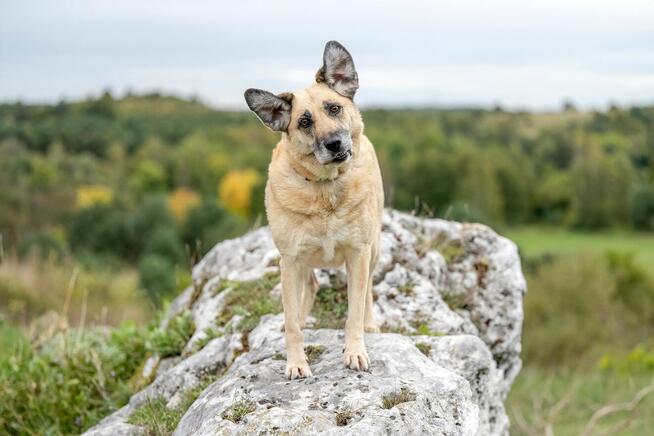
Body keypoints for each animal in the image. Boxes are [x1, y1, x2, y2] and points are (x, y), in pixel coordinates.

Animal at [245, 42, 384, 380]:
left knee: (367, 291)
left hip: (373, 249)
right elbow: (292, 323)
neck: (325, 190)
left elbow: (354, 310)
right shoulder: (290, 260)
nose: (335, 144)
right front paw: (296, 362)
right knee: (308, 288)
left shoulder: (358, 254)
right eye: (304, 122)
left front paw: (355, 351)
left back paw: (371, 324)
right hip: (299, 263)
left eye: (334, 108)